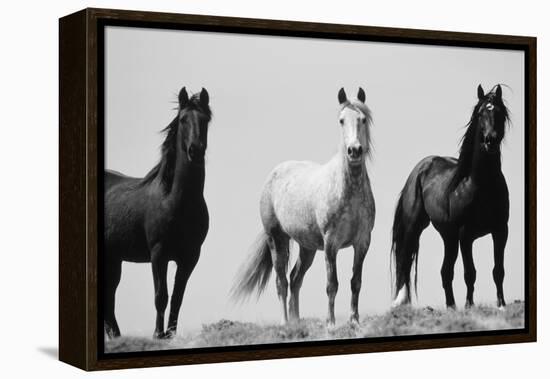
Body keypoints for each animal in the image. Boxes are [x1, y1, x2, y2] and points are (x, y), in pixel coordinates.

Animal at [104, 87, 212, 340]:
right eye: (183, 120)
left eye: (205, 120)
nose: (195, 151)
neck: (174, 200)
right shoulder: (158, 254)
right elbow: (161, 296)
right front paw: (157, 334)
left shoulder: (190, 257)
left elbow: (177, 297)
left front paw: (170, 334)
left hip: (113, 260)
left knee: (109, 299)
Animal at [233, 87, 376, 326]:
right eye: (341, 120)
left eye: (363, 119)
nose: (354, 151)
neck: (348, 191)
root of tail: (274, 174)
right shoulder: (331, 244)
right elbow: (332, 284)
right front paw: (331, 323)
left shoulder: (362, 242)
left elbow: (356, 281)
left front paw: (354, 321)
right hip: (276, 239)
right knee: (281, 281)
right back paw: (285, 323)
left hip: (307, 247)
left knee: (295, 278)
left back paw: (296, 321)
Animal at [392, 84, 512, 310]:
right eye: (480, 113)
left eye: (500, 112)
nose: (490, 140)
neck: (480, 184)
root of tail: (419, 169)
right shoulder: (466, 235)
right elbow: (470, 273)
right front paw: (469, 306)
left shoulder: (500, 230)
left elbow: (498, 270)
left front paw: (501, 304)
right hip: (415, 228)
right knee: (404, 261)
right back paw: (401, 301)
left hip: (449, 237)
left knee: (445, 271)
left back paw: (451, 306)